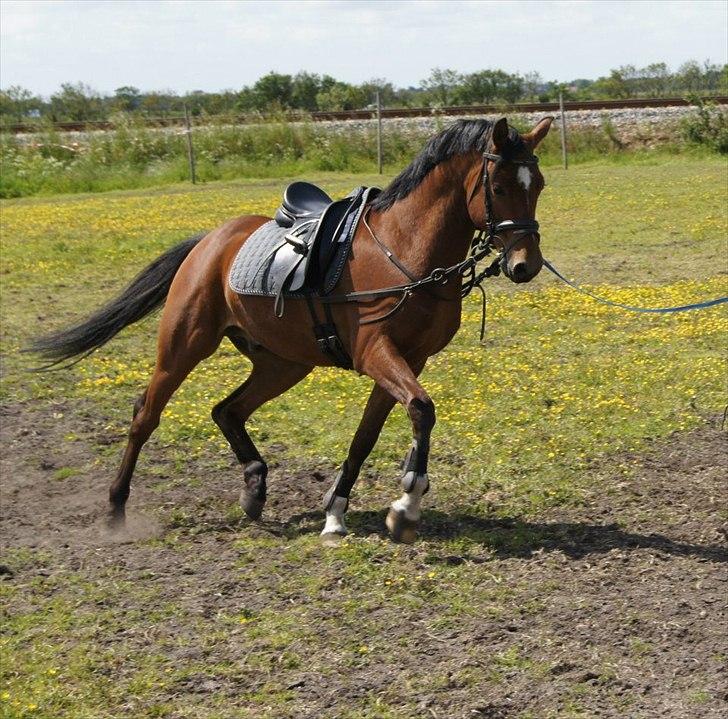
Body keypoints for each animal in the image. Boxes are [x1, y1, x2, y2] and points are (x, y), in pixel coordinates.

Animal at [29, 116, 552, 544]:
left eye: (540, 184)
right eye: (499, 185)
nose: (525, 265)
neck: (404, 249)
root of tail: (210, 241)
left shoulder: (409, 360)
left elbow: (367, 435)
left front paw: (336, 513)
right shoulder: (376, 353)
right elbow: (422, 410)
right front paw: (406, 505)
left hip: (284, 363)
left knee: (227, 410)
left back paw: (254, 490)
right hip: (184, 346)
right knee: (146, 416)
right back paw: (117, 509)